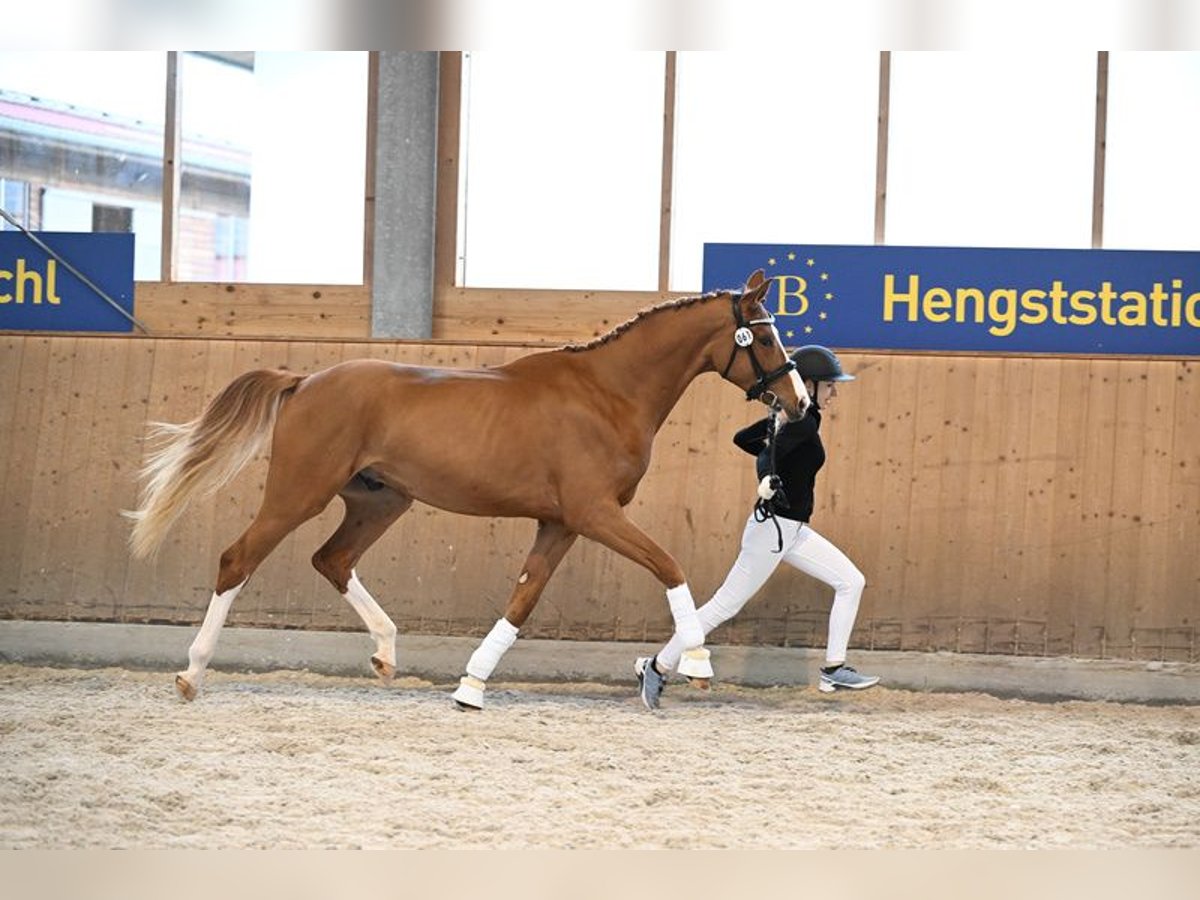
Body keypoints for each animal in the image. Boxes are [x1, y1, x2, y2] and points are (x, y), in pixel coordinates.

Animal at [125, 269, 808, 709]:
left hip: (381, 499)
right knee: (237, 559)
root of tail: (304, 380)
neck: (608, 394)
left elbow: (522, 599)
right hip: (300, 492)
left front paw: (471, 686)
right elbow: (669, 566)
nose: (799, 403)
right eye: (763, 335)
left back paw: (386, 653)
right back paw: (192, 674)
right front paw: (695, 662)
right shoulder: (595, 514)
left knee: (332, 559)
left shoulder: (561, 523)